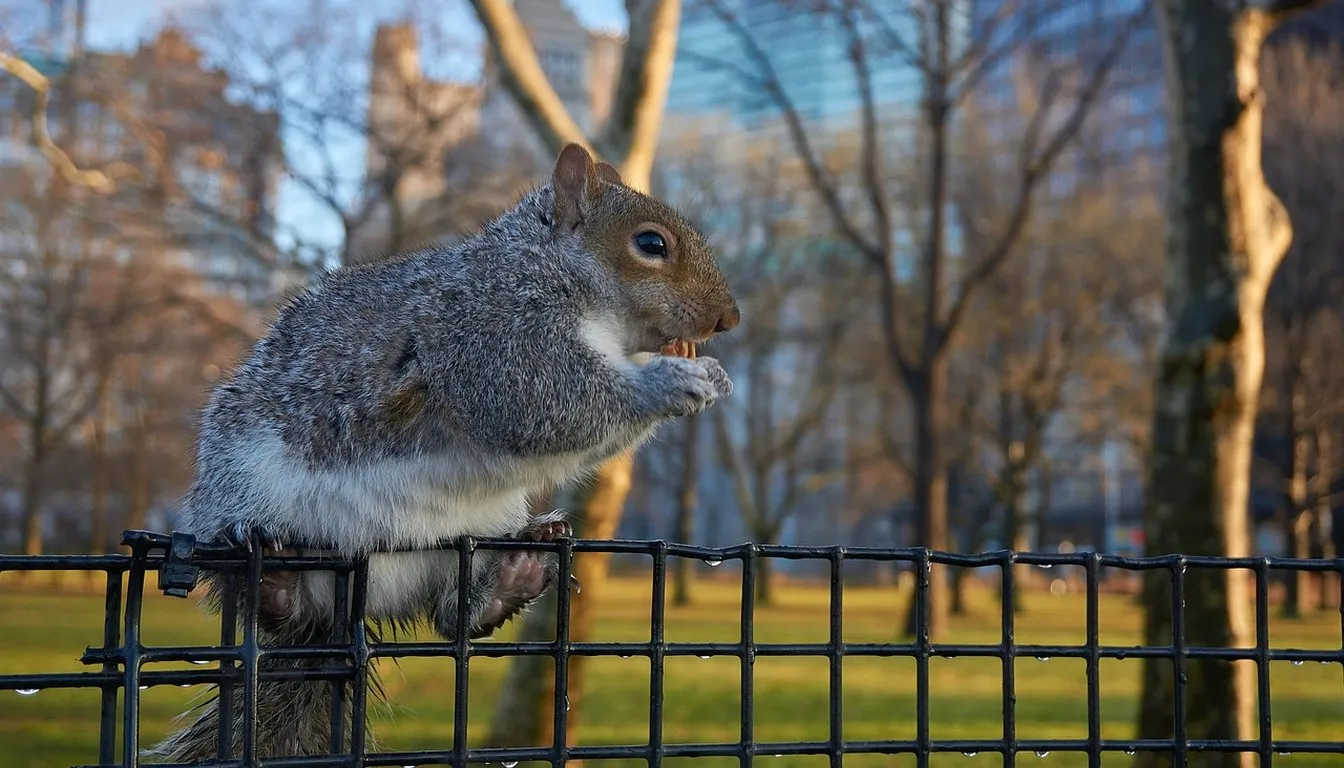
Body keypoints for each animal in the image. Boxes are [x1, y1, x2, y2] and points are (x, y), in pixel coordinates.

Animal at [150, 143, 740, 763]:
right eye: (651, 244)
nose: (729, 318)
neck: (548, 267)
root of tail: (362, 600)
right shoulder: (490, 334)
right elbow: (549, 405)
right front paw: (674, 381)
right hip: (246, 490)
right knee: (275, 606)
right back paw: (273, 576)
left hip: (469, 538)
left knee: (455, 615)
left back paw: (518, 571)